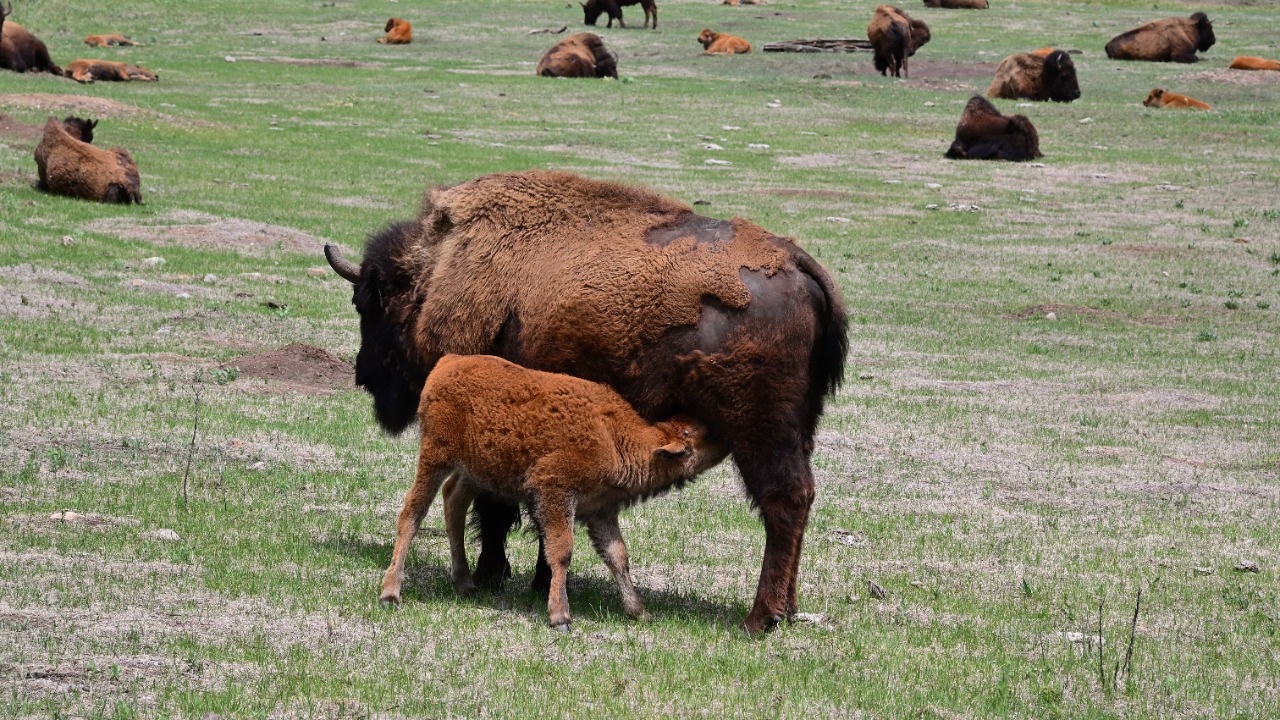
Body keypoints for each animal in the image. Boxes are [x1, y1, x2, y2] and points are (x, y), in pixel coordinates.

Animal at [379, 354, 726, 631]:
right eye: (702, 434)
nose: (726, 437)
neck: (613, 437)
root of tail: (447, 363)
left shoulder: (600, 510)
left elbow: (617, 556)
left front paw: (639, 611)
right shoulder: (555, 493)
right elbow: (561, 552)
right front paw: (561, 617)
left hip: (475, 471)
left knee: (454, 502)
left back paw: (465, 583)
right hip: (436, 455)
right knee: (412, 512)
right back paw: (390, 592)